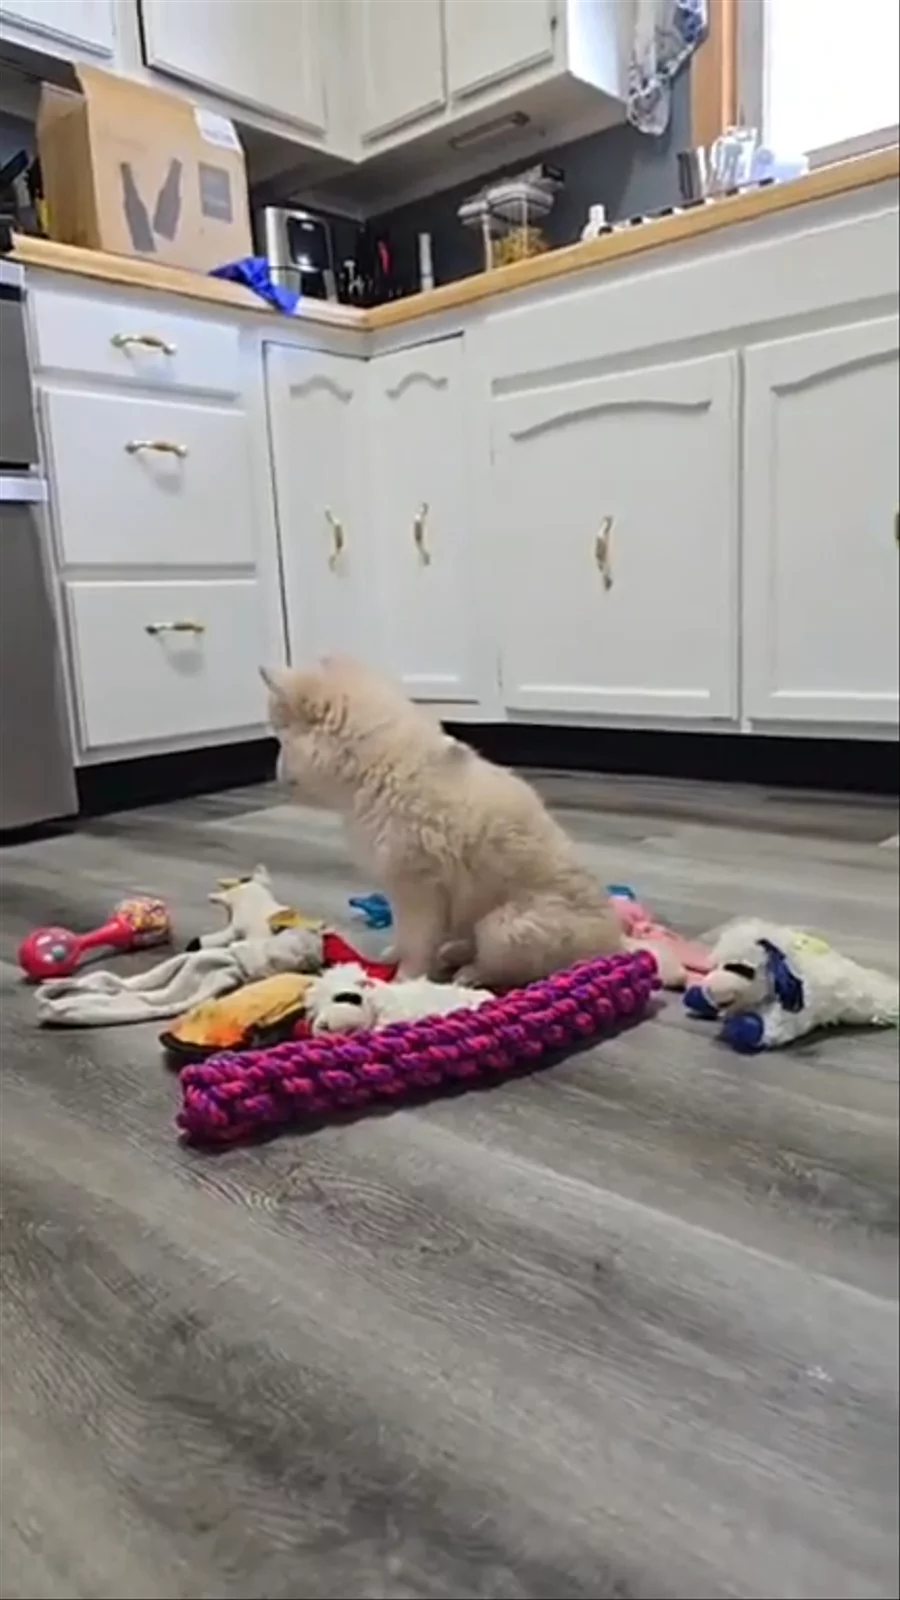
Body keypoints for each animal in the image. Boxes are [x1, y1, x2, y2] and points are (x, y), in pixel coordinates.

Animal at [261, 657, 625, 989]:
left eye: (280, 739)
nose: (275, 774)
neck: (378, 765)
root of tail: (615, 943)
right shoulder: (398, 888)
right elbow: (404, 933)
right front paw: (393, 955)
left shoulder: (420, 888)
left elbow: (417, 941)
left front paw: (405, 979)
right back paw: (455, 952)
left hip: (505, 926)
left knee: (504, 966)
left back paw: (469, 973)